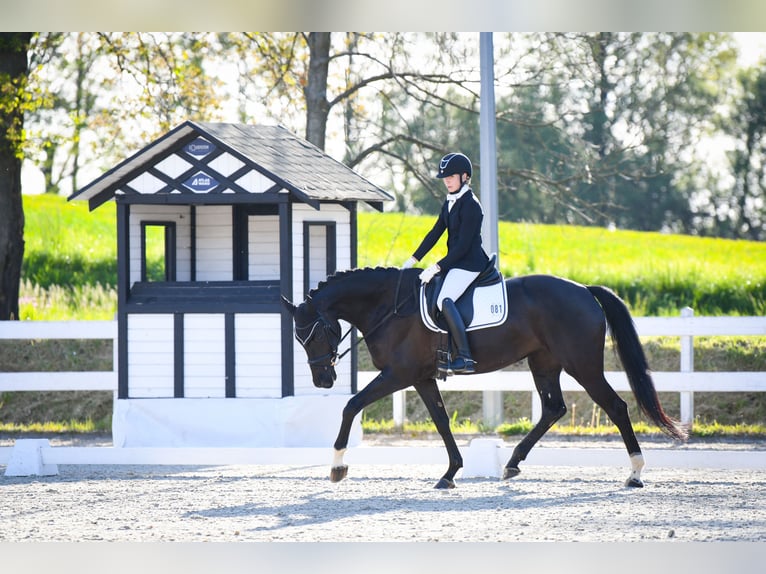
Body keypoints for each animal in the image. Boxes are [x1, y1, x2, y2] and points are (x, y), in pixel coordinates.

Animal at [284, 268, 688, 490]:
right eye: (298, 338)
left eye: (317, 333)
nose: (322, 381)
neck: (389, 307)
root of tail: (584, 290)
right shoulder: (421, 377)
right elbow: (441, 420)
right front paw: (450, 473)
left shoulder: (398, 374)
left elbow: (351, 406)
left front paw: (337, 467)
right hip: (544, 363)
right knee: (553, 409)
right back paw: (512, 463)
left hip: (582, 365)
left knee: (616, 407)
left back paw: (635, 474)